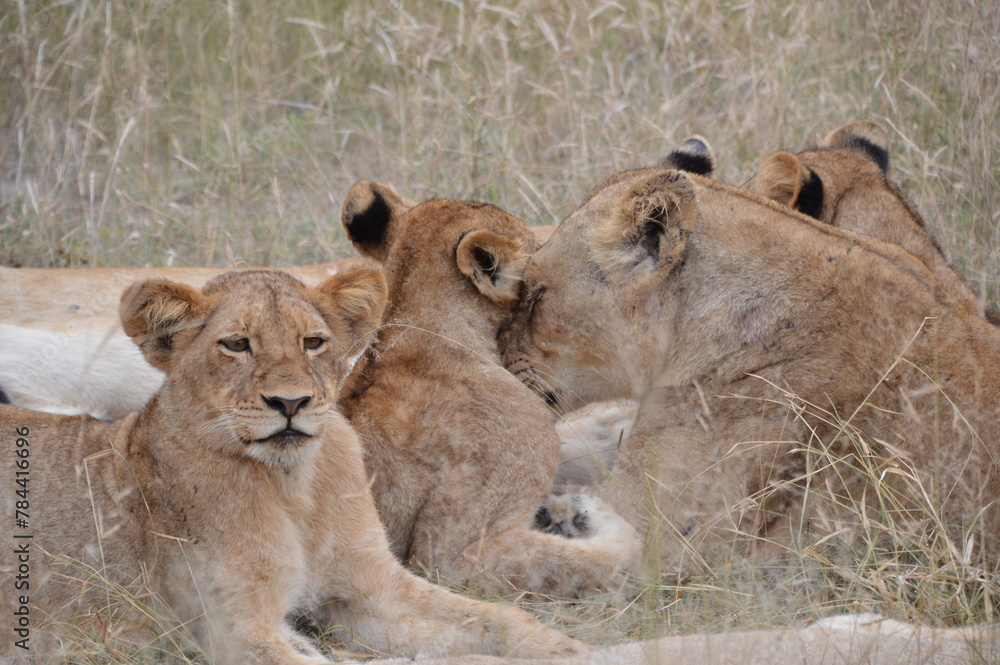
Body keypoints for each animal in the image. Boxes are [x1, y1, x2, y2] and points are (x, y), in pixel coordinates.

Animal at [0, 269, 583, 663]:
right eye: (237, 344)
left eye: (313, 342)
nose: (290, 402)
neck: (294, 485)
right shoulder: (237, 631)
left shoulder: (372, 588)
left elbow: (498, 618)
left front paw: (578, 649)